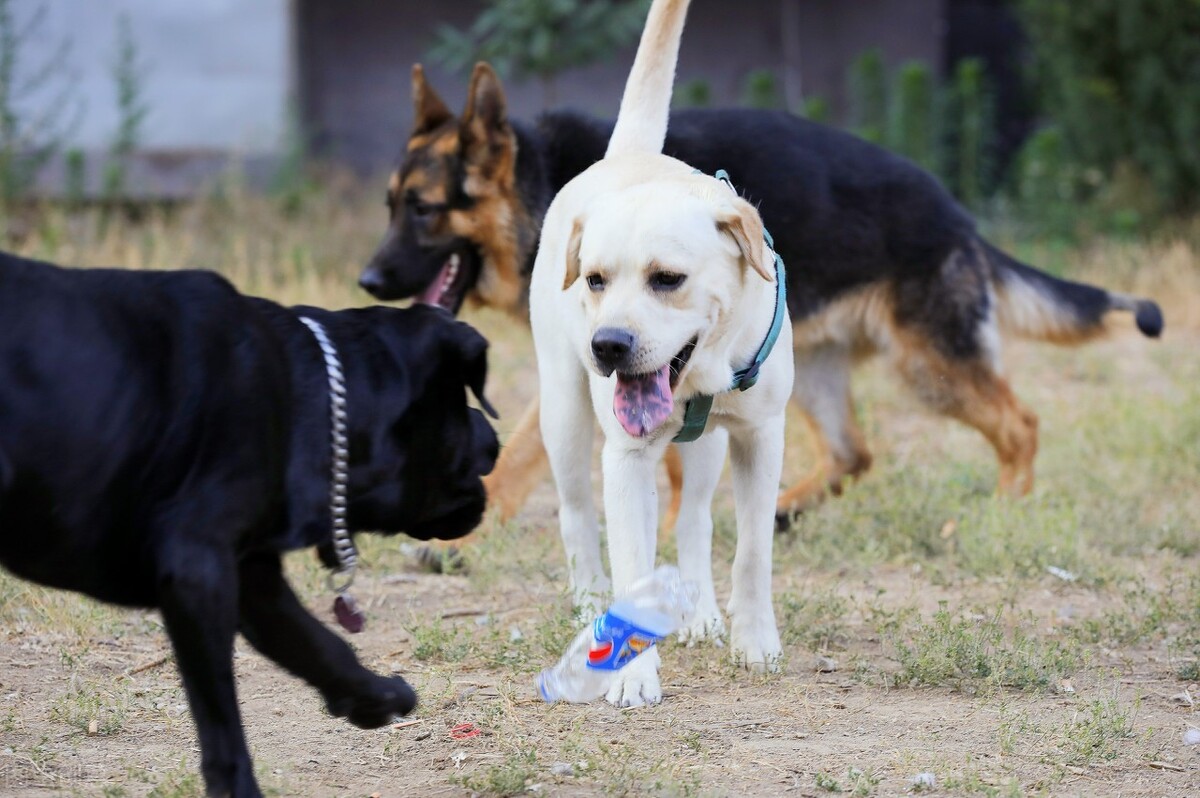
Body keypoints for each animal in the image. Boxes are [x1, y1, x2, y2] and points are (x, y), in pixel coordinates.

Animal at [0, 250, 496, 796]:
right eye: (464, 405)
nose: (494, 437)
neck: (310, 392)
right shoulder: (199, 573)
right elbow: (223, 723)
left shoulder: (250, 572)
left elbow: (321, 644)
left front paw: (376, 697)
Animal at [357, 60, 1161, 523]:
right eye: (389, 205)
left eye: (422, 210)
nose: (366, 283)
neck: (540, 178)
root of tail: (953, 211)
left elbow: (534, 447)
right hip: (813, 367)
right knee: (852, 454)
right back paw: (782, 508)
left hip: (927, 367)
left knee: (1019, 423)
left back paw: (1004, 510)